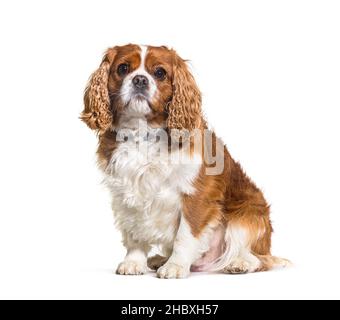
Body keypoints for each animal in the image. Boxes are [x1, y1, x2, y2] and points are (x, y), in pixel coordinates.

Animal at [80, 43, 290, 278]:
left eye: (160, 73)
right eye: (123, 68)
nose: (140, 80)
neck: (142, 133)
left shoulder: (197, 195)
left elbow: (185, 235)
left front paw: (176, 266)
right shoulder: (126, 193)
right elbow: (134, 234)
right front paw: (134, 262)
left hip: (247, 216)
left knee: (261, 258)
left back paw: (240, 263)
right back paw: (159, 259)